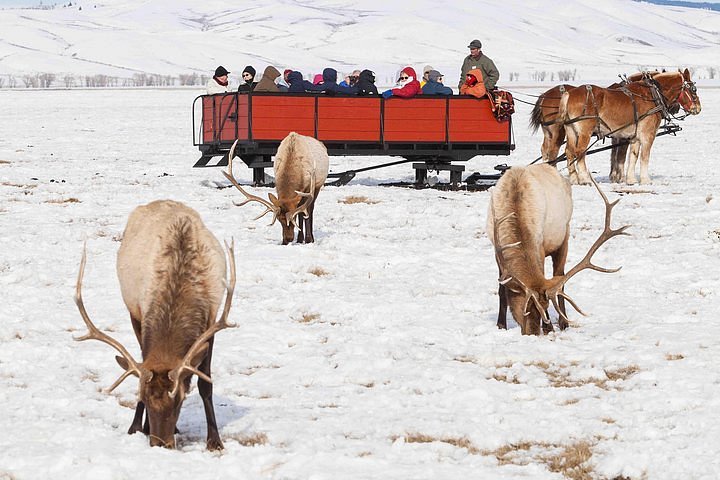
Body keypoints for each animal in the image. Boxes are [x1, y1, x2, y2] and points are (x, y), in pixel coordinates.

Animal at [74, 200, 235, 450]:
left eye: (180, 399)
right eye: (144, 399)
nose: (160, 444)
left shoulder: (212, 320)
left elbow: (205, 384)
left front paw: (214, 441)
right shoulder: (139, 312)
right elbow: (142, 366)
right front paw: (138, 427)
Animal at [486, 164, 628, 334]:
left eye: (546, 306)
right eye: (524, 309)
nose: (533, 333)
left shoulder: (540, 247)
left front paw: (549, 327)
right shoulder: (497, 250)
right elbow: (502, 289)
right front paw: (501, 325)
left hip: (564, 235)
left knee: (560, 278)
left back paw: (563, 322)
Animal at [556, 69, 704, 186]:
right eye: (693, 89)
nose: (698, 108)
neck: (653, 95)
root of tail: (569, 94)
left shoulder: (634, 137)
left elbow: (633, 156)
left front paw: (631, 180)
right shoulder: (648, 135)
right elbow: (644, 157)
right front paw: (645, 180)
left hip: (571, 130)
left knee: (569, 152)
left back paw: (574, 179)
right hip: (585, 132)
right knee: (580, 152)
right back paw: (585, 179)